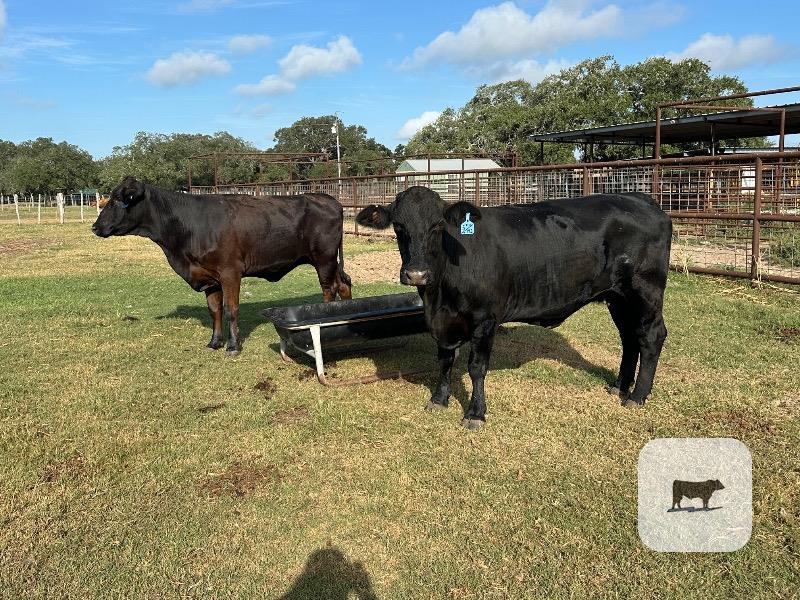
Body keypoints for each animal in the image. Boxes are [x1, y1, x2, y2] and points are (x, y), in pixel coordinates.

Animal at [93, 176, 351, 355]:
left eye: (118, 200)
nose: (95, 227)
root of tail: (328, 198)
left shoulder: (230, 273)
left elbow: (230, 310)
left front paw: (233, 346)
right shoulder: (209, 278)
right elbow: (214, 310)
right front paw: (214, 342)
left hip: (324, 259)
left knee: (329, 289)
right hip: (331, 262)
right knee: (344, 284)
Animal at [356, 186, 671, 429]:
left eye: (437, 227)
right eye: (399, 227)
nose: (417, 274)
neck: (439, 295)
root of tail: (641, 199)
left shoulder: (485, 319)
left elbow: (476, 368)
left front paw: (476, 414)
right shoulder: (442, 322)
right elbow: (445, 361)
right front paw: (438, 399)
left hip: (645, 291)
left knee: (651, 336)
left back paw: (637, 396)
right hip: (618, 297)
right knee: (629, 338)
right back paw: (619, 386)